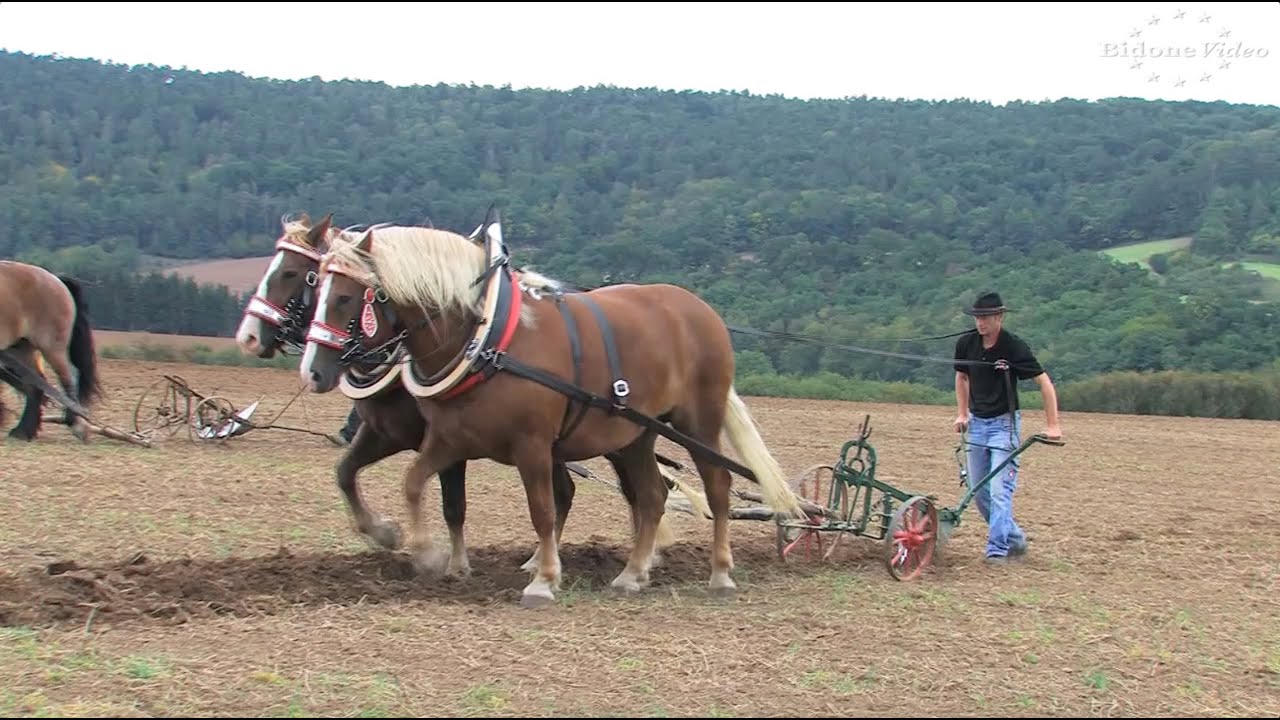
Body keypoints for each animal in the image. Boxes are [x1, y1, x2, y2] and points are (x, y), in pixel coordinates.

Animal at [0, 260, 101, 442]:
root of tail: (56, 278)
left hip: (52, 349)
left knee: (66, 381)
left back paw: (76, 424)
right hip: (21, 349)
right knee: (34, 385)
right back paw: (23, 431)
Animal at [233, 213, 683, 577]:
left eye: (294, 274)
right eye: (315, 279)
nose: (248, 338)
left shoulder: (450, 442)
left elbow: (453, 505)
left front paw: (450, 562)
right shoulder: (386, 433)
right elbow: (346, 473)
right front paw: (384, 533)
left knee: (633, 491)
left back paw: (642, 556)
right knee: (583, 492)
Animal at [299, 211, 804, 608]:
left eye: (344, 297)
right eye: (315, 288)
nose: (314, 372)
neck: (487, 339)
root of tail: (702, 310)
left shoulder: (533, 445)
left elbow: (541, 510)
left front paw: (543, 580)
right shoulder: (450, 439)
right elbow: (414, 483)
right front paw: (422, 551)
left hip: (697, 421)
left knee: (717, 488)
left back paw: (720, 572)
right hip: (635, 435)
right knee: (652, 496)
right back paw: (631, 574)